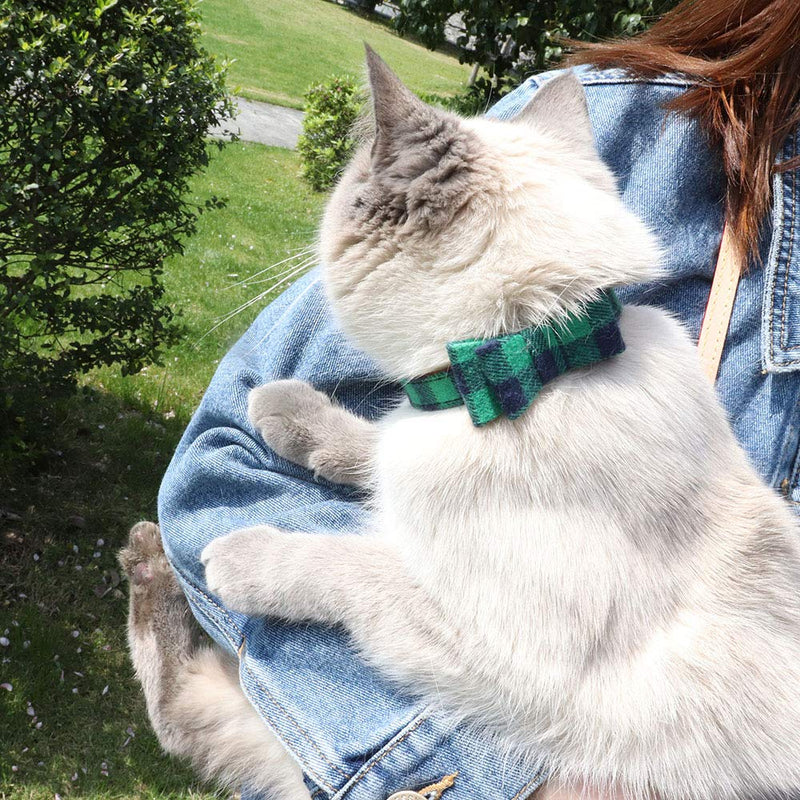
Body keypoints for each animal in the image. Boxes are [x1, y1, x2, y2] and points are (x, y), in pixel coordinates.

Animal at [120, 48, 800, 800]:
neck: (527, 354)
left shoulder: (496, 640)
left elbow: (352, 563)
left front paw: (240, 557)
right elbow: (373, 442)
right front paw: (284, 410)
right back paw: (146, 555)